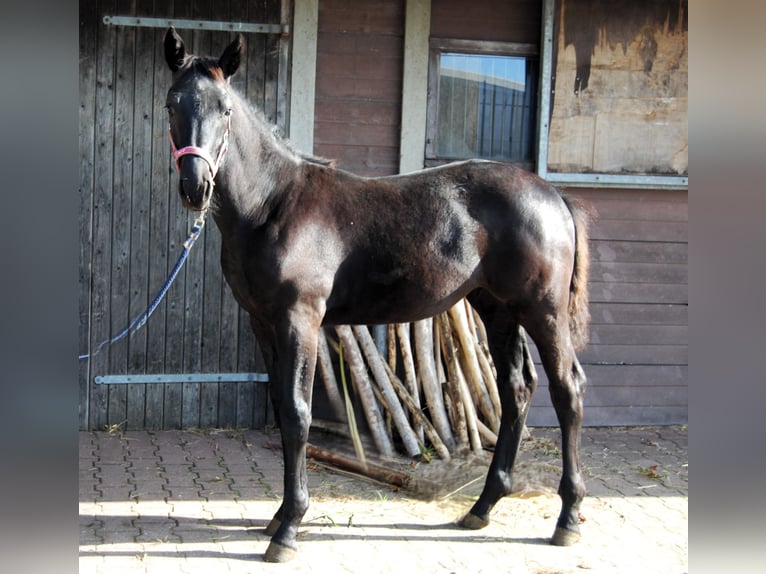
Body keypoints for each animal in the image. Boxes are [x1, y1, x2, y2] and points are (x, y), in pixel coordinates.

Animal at [164, 29, 592, 564]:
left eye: (224, 108)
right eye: (171, 104)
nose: (194, 187)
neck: (272, 205)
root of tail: (554, 196)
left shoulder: (299, 320)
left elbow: (298, 413)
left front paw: (289, 529)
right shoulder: (262, 322)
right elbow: (282, 410)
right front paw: (278, 517)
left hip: (543, 310)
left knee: (567, 389)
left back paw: (568, 517)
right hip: (497, 309)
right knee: (516, 390)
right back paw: (482, 507)